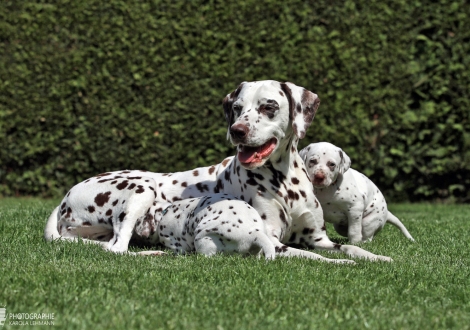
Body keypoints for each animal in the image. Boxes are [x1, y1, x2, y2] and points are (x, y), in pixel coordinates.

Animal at [44, 80, 392, 262]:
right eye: (237, 108)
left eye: (268, 106)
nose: (237, 130)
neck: (285, 182)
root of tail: (63, 201)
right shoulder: (276, 241)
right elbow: (318, 257)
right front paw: (337, 263)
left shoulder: (318, 237)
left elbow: (350, 246)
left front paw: (378, 258)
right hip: (141, 188)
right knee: (117, 248)